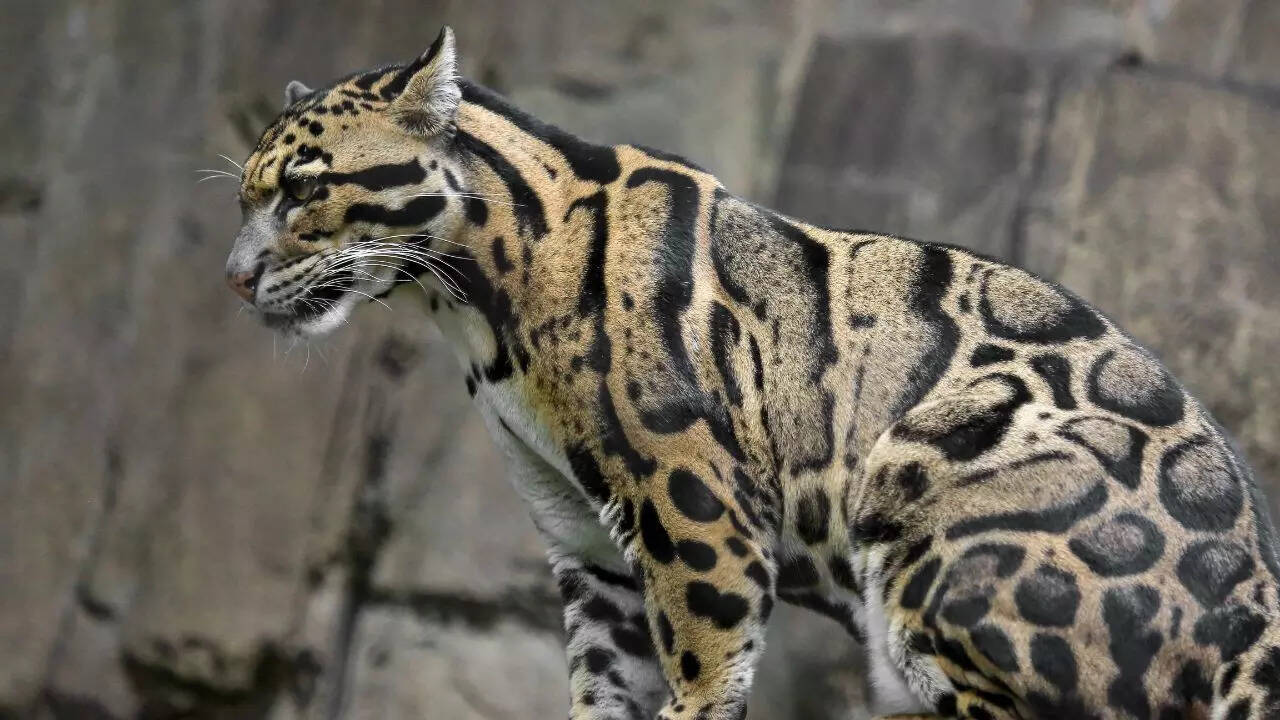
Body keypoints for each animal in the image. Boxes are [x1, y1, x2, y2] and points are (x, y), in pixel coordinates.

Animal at [224, 26, 1280, 720]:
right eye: (247, 197)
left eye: (304, 191)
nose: (234, 278)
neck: (468, 303)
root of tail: (1255, 610)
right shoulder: (589, 547)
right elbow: (604, 687)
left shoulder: (695, 512)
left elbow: (703, 664)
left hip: (930, 515)